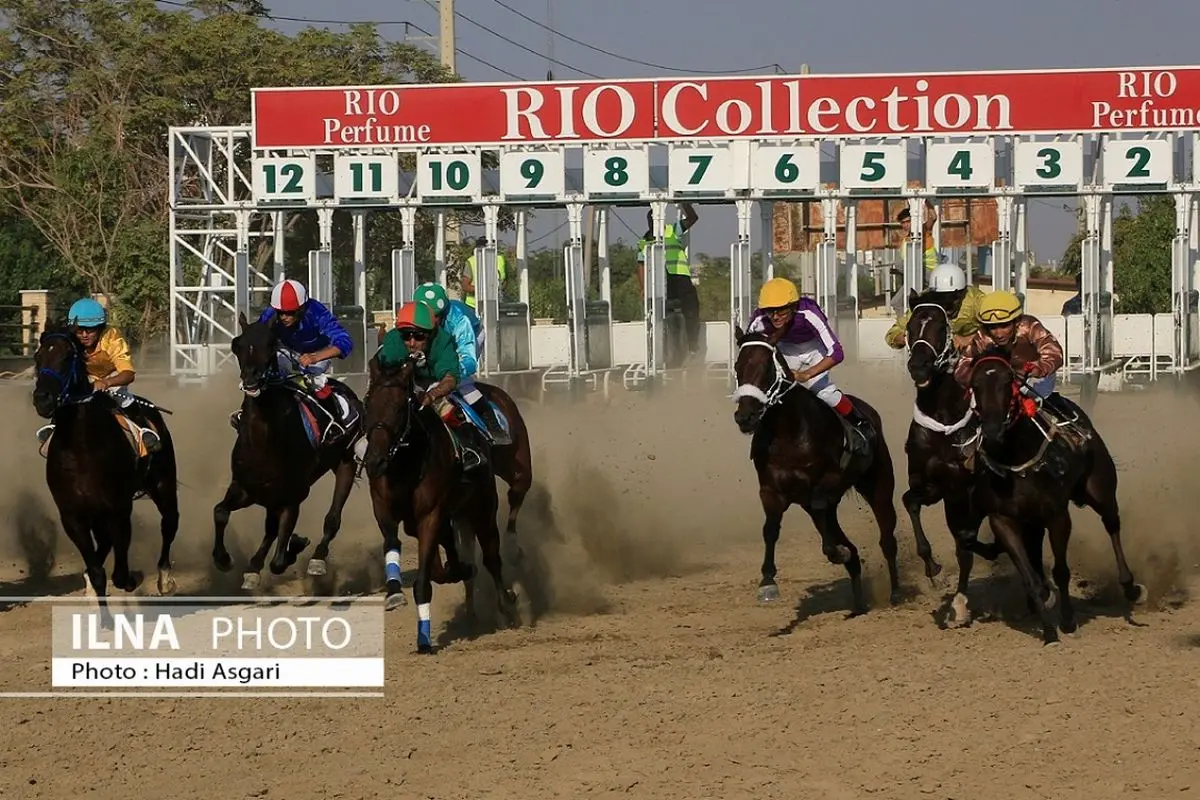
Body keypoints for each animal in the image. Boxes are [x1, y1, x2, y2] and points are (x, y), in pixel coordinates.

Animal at [32, 321, 180, 618]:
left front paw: (131, 581)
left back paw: (163, 578)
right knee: (103, 547)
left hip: (163, 483)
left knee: (170, 522)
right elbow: (97, 569)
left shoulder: (118, 509)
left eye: (67, 357)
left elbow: (120, 572)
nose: (43, 399)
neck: (80, 449)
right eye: (37, 358)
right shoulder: (73, 515)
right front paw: (103, 615)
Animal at [211, 311, 362, 587]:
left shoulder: (293, 496)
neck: (262, 445)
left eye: (271, 345)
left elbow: (279, 561)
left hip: (345, 461)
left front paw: (296, 544)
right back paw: (254, 566)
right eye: (236, 345)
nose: (251, 380)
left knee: (332, 518)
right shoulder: (245, 487)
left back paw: (317, 557)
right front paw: (224, 559)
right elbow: (220, 512)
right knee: (270, 529)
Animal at [360, 352, 520, 652]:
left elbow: (426, 579)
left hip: (482, 507)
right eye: (367, 405)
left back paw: (506, 602)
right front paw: (394, 592)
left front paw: (424, 638)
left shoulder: (431, 514)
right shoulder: (385, 510)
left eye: (398, 409)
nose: (374, 461)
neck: (406, 463)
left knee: (492, 557)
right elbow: (394, 544)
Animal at [729, 326, 902, 618]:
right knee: (842, 540)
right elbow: (770, 530)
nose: (745, 417)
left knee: (887, 536)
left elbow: (826, 525)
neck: (789, 431)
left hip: (878, 485)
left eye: (766, 368)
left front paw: (838, 553)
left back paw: (897, 593)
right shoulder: (771, 491)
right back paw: (858, 601)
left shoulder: (828, 483)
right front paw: (767, 582)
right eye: (737, 367)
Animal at [964, 347, 1142, 647]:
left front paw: (1068, 622)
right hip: (1033, 521)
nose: (992, 430)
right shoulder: (1003, 520)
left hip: (1100, 490)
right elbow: (1030, 578)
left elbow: (1061, 571)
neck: (1016, 460)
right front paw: (1049, 632)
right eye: (975, 384)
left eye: (1007, 381)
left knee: (1112, 525)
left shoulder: (1057, 515)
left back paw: (1130, 587)